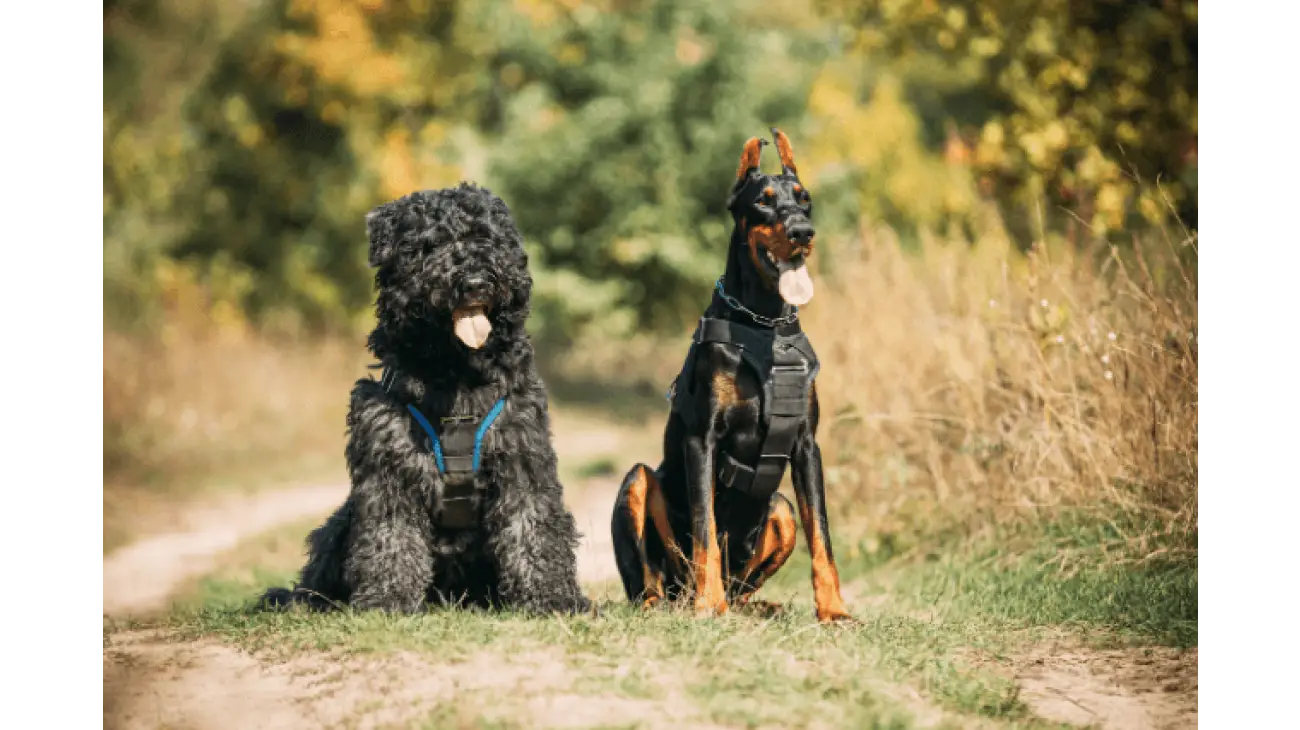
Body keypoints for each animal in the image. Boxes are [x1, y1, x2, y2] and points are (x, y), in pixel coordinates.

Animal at [263, 181, 590, 613]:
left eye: (485, 237)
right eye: (431, 245)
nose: (474, 280)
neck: (457, 375)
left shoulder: (522, 457)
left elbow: (532, 525)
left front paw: (551, 596)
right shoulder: (389, 464)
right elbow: (390, 536)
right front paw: (388, 599)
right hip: (338, 526)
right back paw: (304, 600)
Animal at [608, 129, 852, 618]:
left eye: (804, 198)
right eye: (764, 201)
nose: (802, 232)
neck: (763, 322)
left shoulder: (806, 444)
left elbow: (822, 536)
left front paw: (834, 610)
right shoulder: (702, 439)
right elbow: (705, 528)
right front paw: (710, 605)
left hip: (779, 509)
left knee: (746, 580)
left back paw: (756, 606)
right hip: (639, 482)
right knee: (652, 579)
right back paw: (676, 602)